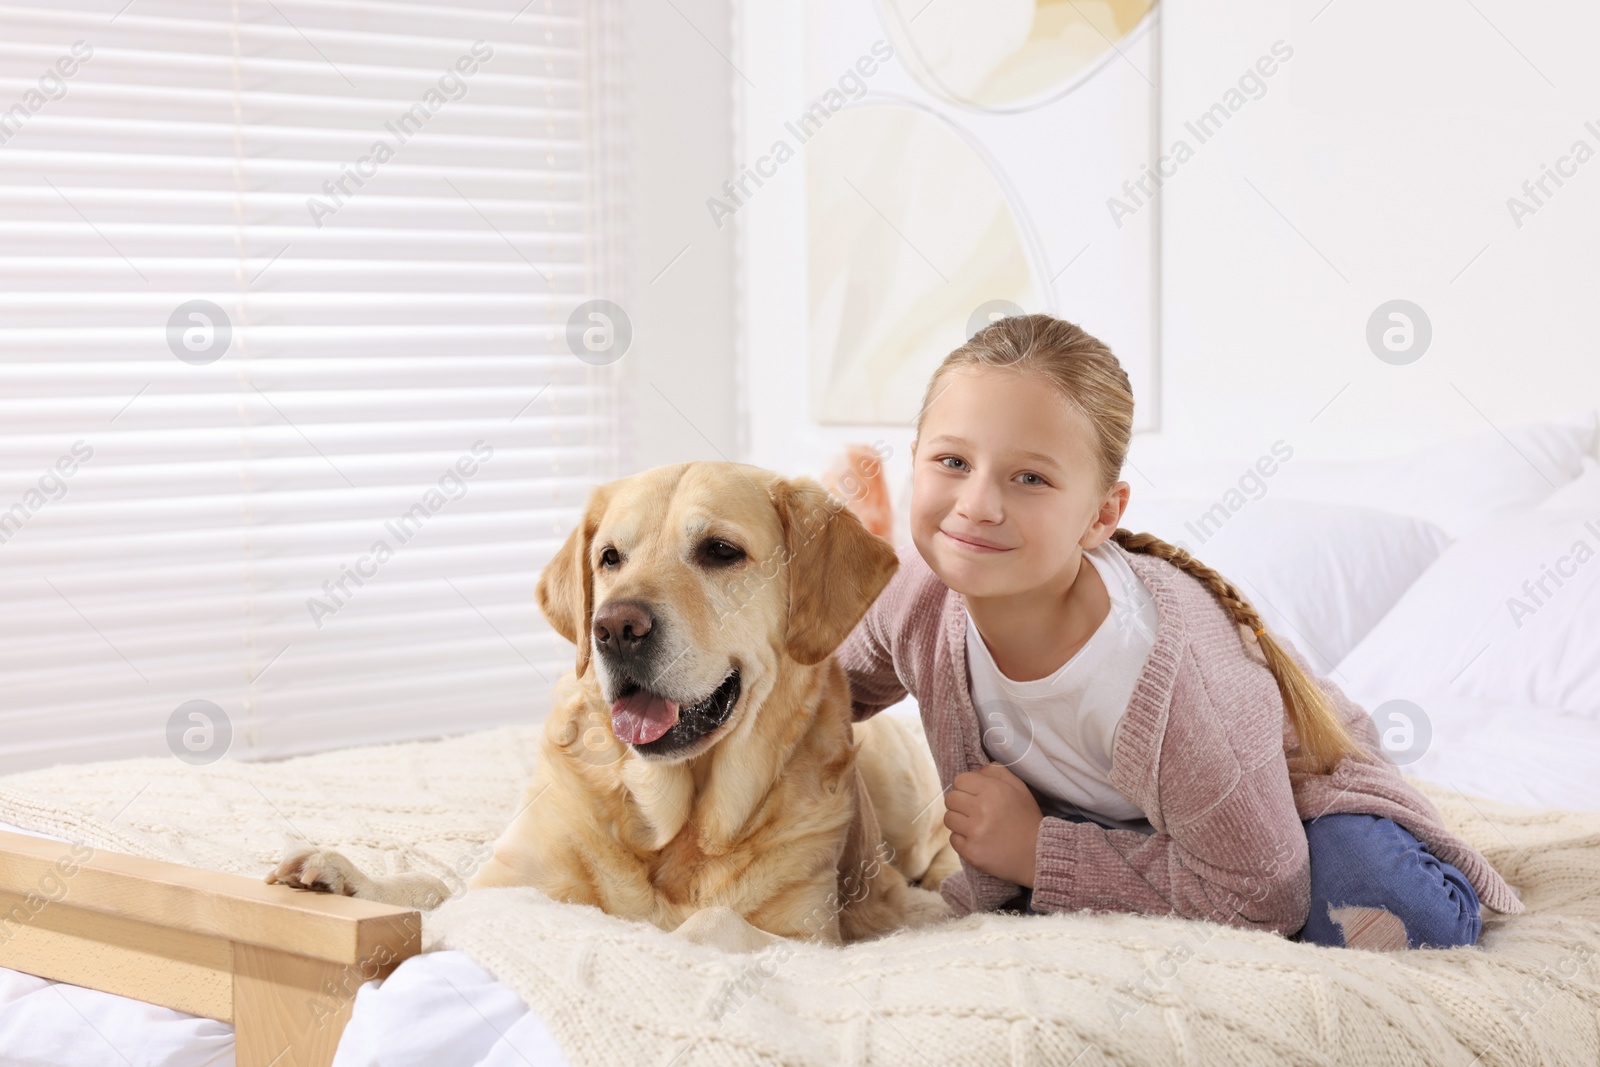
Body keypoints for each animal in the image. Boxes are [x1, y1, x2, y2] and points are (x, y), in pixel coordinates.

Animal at [268, 460, 953, 940]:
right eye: (609, 558)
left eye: (720, 551)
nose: (615, 627)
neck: (673, 825)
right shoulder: (510, 882)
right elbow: (439, 893)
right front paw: (350, 878)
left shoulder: (808, 937)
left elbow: (712, 923)